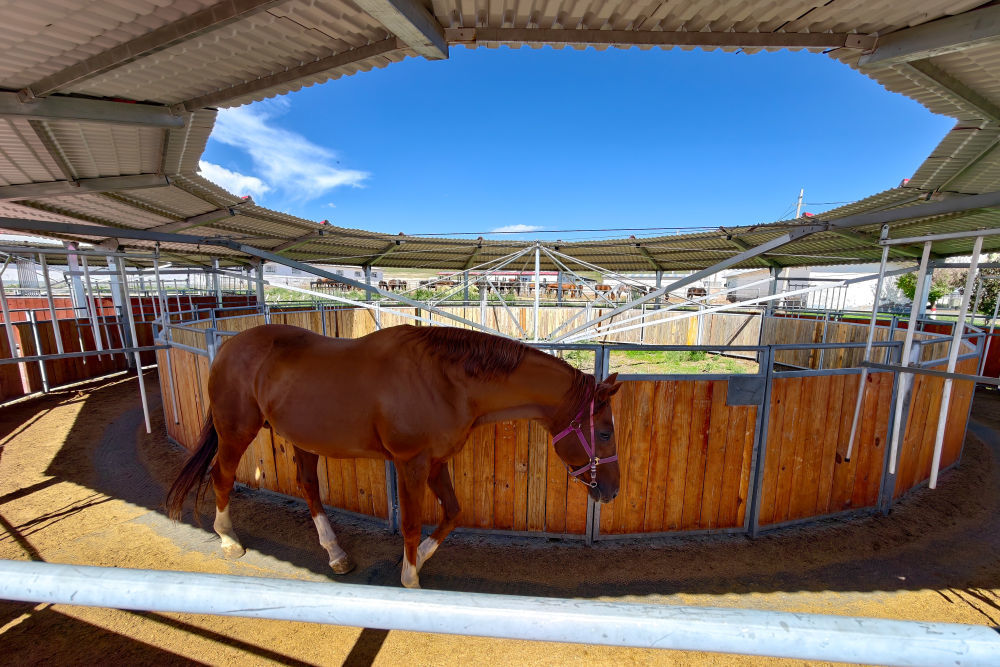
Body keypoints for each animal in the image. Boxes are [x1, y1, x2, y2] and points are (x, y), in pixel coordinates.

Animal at [166, 324, 622, 589]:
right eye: (603, 432)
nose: (613, 491)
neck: (446, 380)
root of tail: (231, 346)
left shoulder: (436, 462)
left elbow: (452, 513)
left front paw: (418, 561)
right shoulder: (411, 463)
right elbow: (412, 523)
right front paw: (410, 577)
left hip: (302, 441)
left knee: (309, 489)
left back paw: (336, 554)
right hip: (235, 431)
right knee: (222, 477)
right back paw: (229, 539)